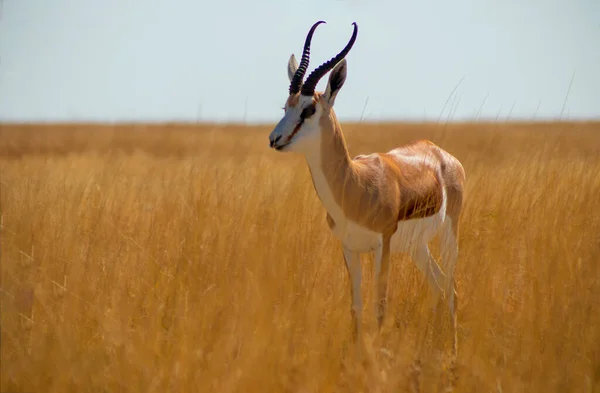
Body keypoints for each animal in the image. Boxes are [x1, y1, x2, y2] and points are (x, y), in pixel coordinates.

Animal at [268, 21, 468, 352]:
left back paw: (452, 352)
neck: (355, 186)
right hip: (417, 248)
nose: (274, 139)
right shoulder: (350, 248)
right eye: (286, 106)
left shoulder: (381, 247)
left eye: (309, 110)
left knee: (452, 289)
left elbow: (380, 308)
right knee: (438, 285)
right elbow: (357, 308)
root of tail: (441, 154)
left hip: (449, 235)